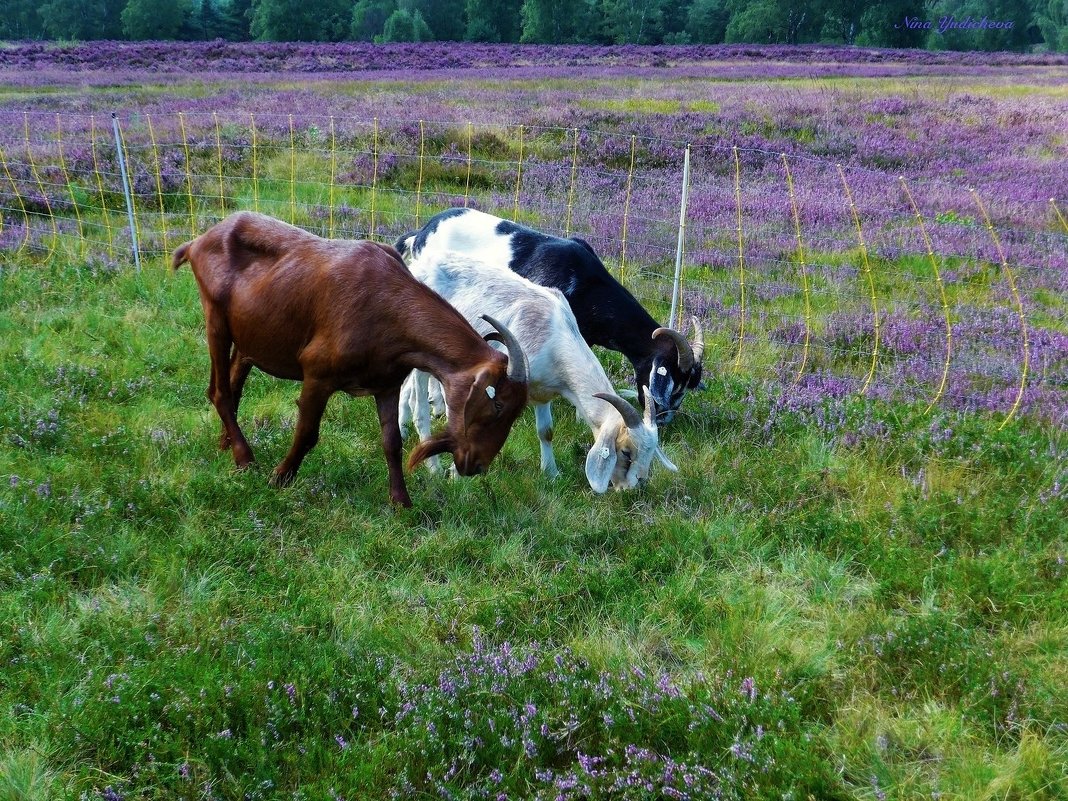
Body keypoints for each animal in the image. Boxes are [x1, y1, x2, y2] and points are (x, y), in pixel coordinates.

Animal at [169, 210, 529, 504]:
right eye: (498, 405)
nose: (476, 466)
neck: (387, 304)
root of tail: (199, 241)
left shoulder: (387, 385)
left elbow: (392, 441)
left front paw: (401, 501)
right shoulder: (317, 375)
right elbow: (307, 432)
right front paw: (280, 477)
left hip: (251, 336)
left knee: (234, 384)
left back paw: (226, 445)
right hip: (216, 320)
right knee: (219, 391)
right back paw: (244, 457)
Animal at [401, 247, 674, 493]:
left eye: (650, 454)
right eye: (626, 451)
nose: (632, 489)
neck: (555, 334)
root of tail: (419, 263)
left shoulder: (544, 391)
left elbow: (546, 432)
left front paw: (551, 472)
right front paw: (456, 475)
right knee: (418, 401)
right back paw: (432, 465)